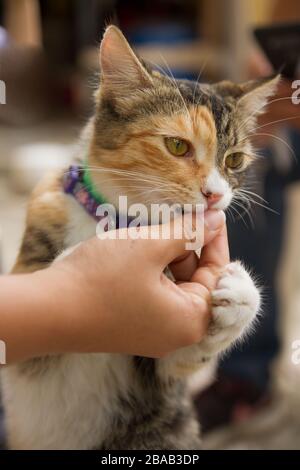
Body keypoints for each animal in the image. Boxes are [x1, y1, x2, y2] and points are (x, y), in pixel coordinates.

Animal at [1, 26, 278, 452]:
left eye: (234, 160)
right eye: (177, 145)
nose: (215, 194)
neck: (122, 219)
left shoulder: (160, 372)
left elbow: (182, 357)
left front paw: (241, 294)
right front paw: (78, 268)